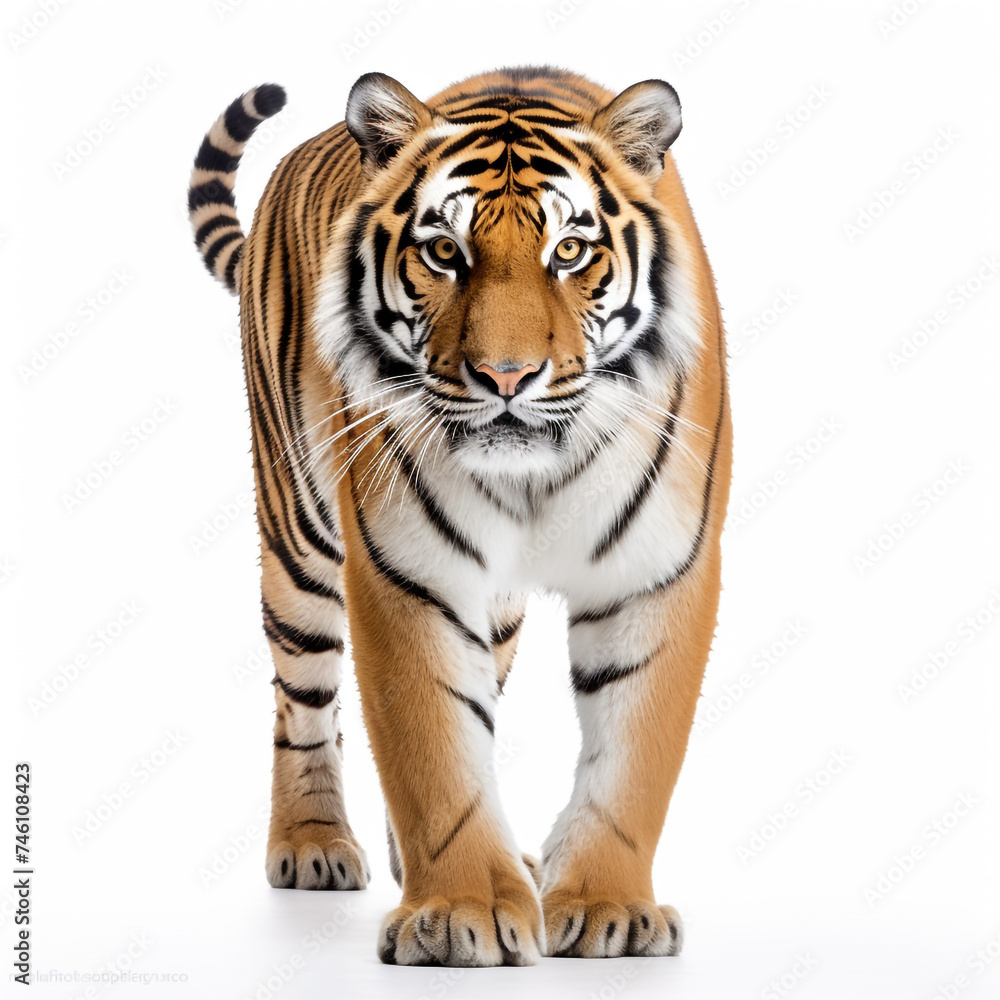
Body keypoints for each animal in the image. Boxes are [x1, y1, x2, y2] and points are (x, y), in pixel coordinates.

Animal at [188, 66, 731, 966]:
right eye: (445, 251)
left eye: (569, 251)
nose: (506, 377)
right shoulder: (409, 571)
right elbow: (433, 746)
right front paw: (459, 914)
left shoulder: (658, 570)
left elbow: (633, 756)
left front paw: (608, 910)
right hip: (298, 535)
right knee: (303, 703)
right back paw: (312, 843)